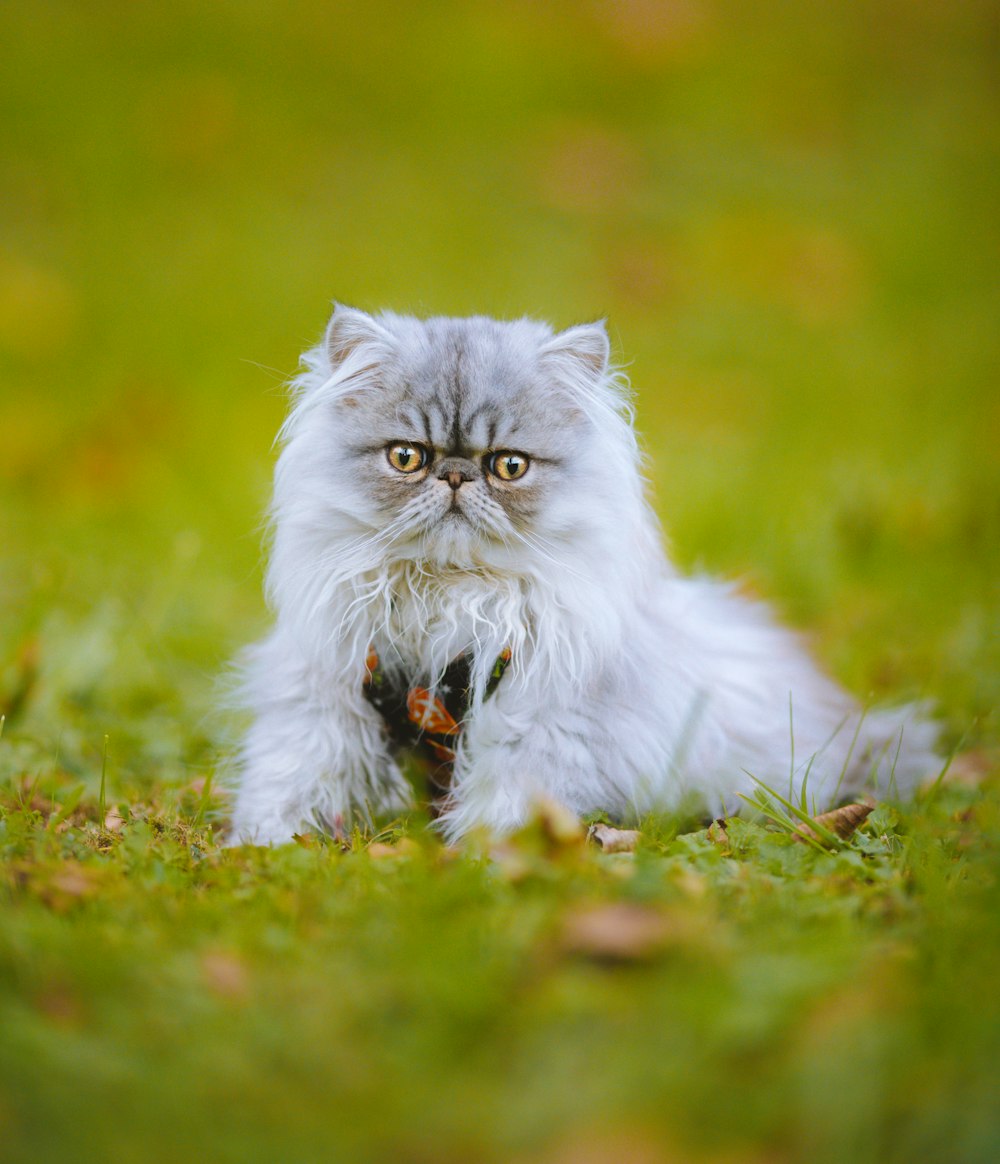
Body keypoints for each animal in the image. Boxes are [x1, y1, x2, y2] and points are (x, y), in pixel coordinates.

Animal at [227, 304, 940, 842]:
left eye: (509, 466)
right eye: (407, 457)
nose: (455, 476)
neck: (449, 599)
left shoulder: (537, 724)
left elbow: (506, 803)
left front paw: (486, 859)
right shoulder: (325, 698)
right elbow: (290, 777)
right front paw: (263, 847)